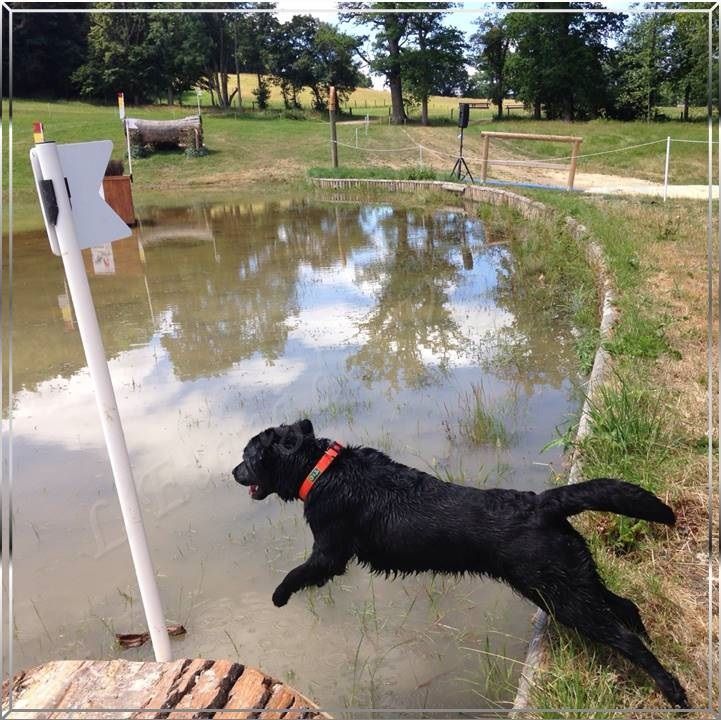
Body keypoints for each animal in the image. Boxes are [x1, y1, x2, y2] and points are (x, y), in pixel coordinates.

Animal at [233, 420, 688, 704]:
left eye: (248, 456)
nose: (234, 472)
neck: (322, 469)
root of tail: (542, 502)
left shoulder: (328, 552)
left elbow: (299, 571)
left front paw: (278, 596)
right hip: (571, 579)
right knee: (625, 607)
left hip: (563, 594)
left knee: (623, 637)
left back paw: (673, 692)